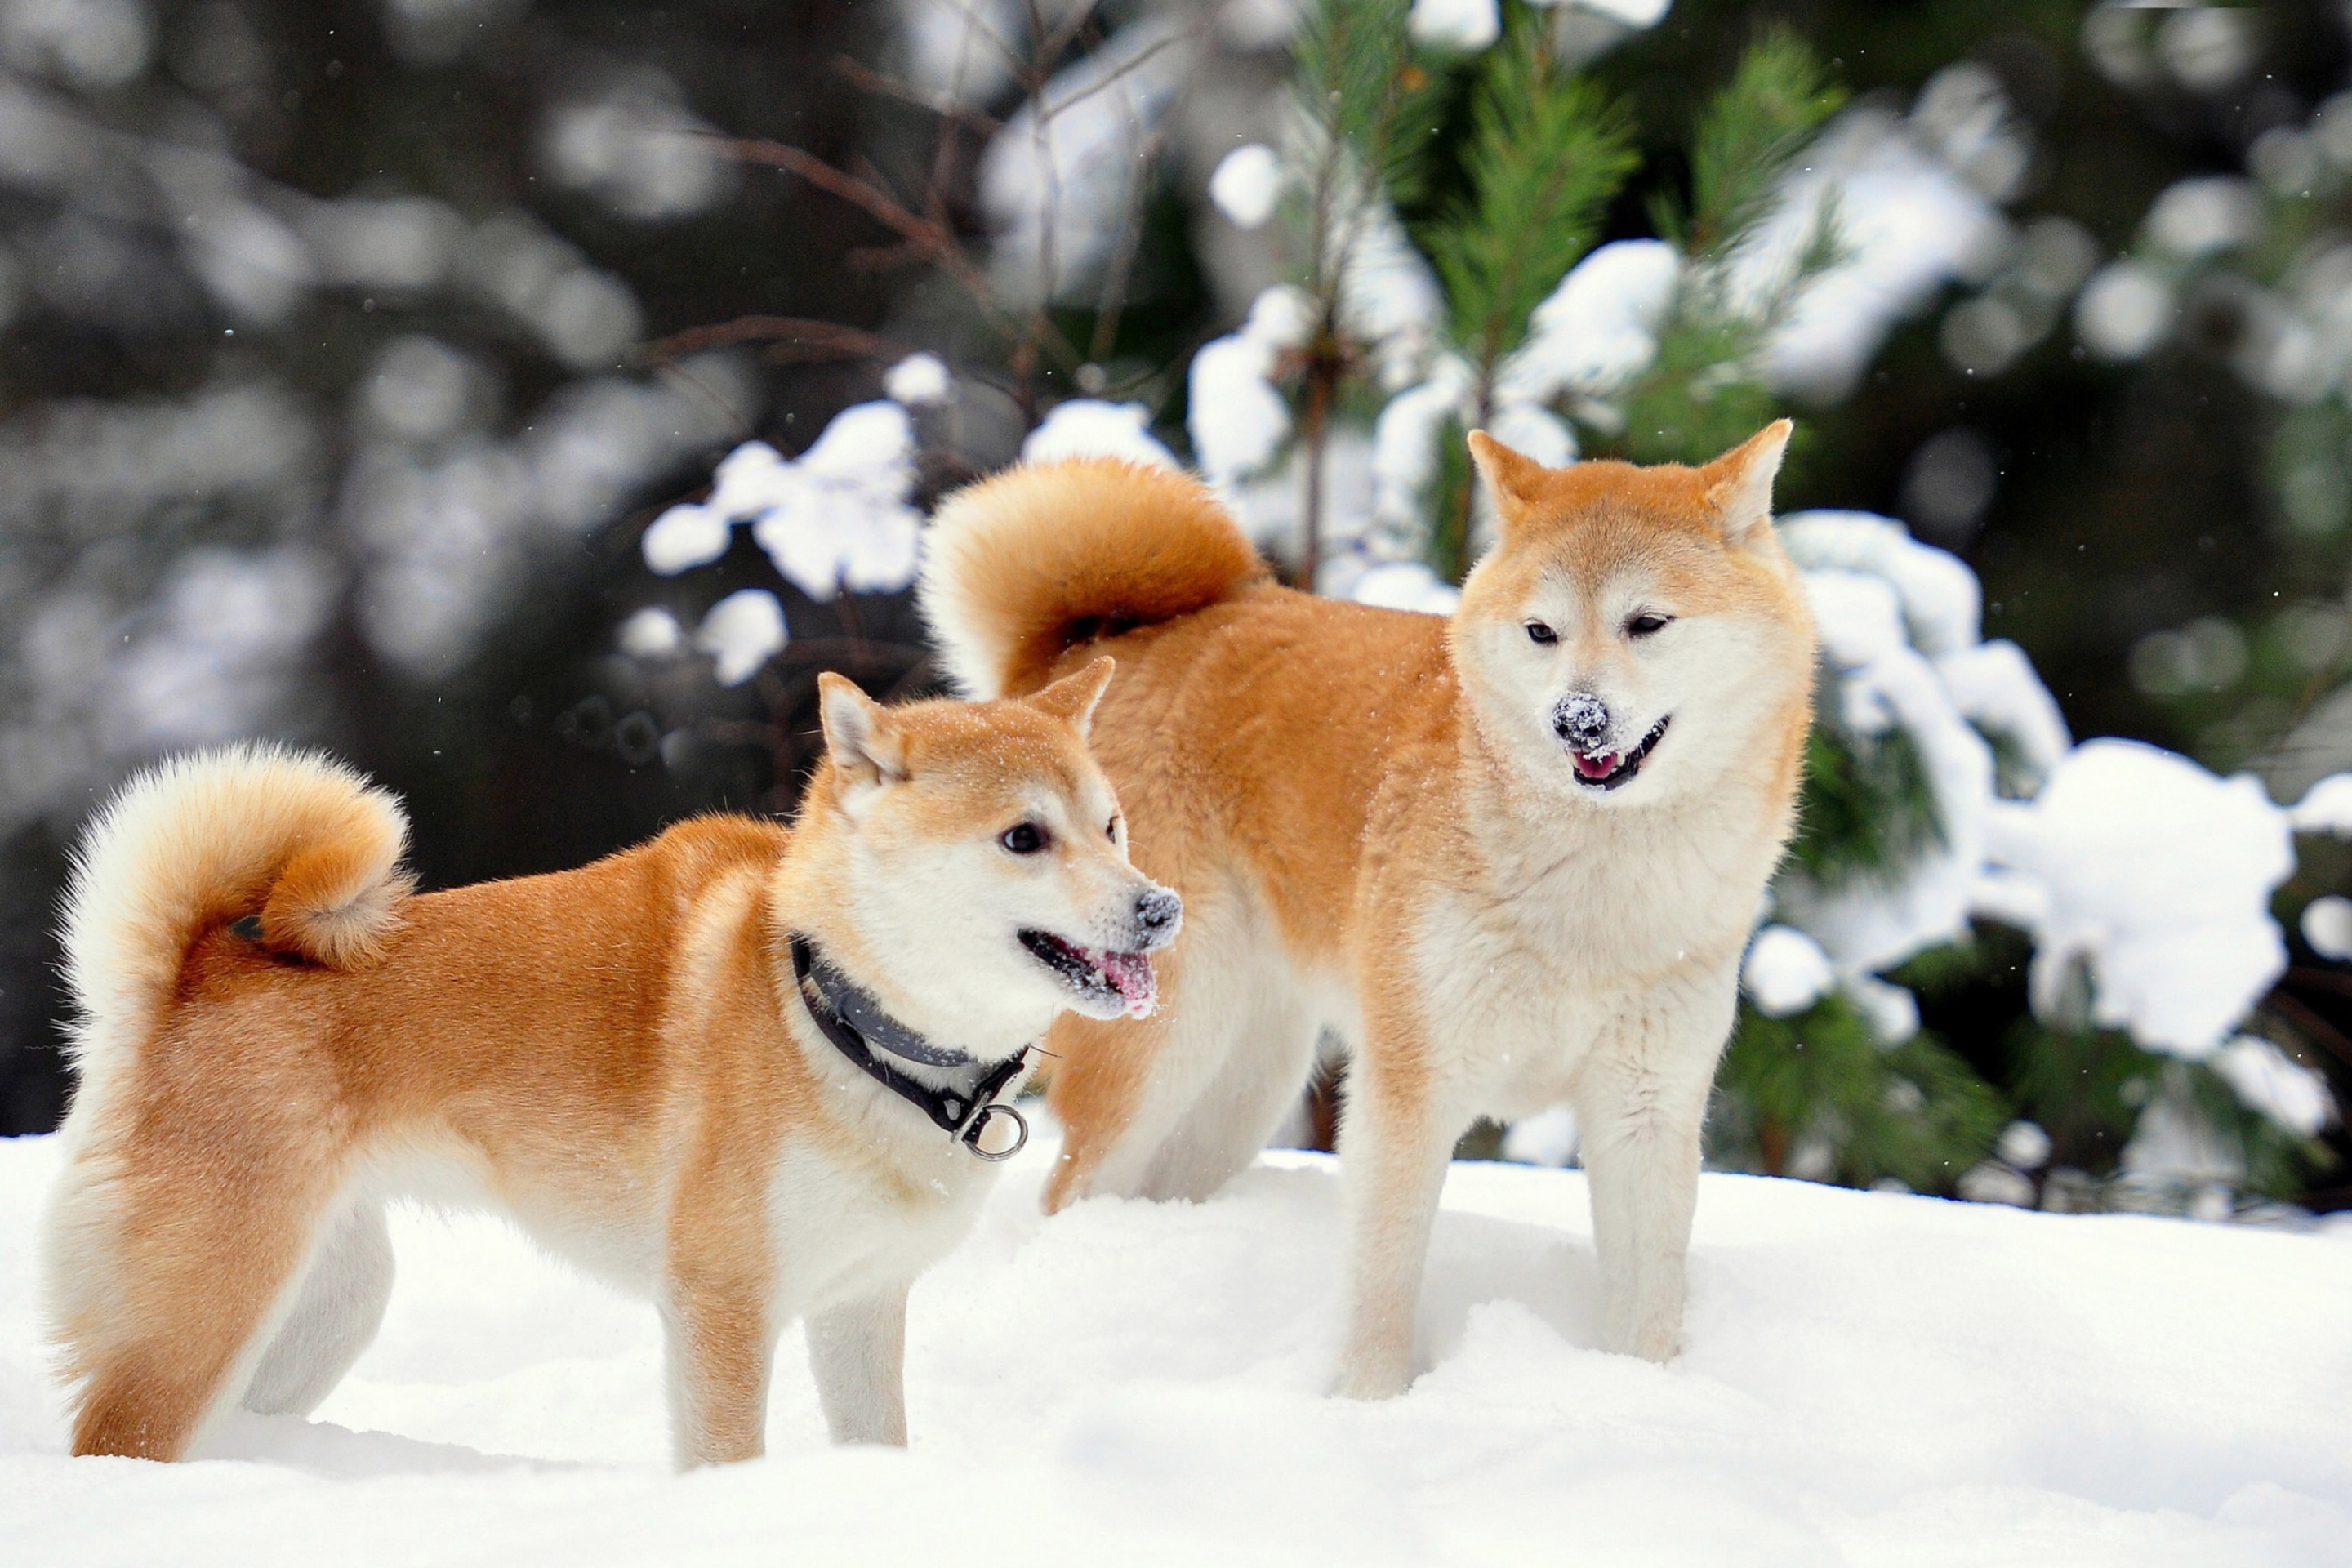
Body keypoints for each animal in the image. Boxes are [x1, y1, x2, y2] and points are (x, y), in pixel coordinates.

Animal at [37, 657, 1176, 1476]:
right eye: (1023, 837)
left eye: (1112, 825)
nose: (1160, 908)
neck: (836, 1016)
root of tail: (190, 975)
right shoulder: (722, 1304)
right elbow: (726, 1459)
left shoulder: (860, 1304)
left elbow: (878, 1441)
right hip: (203, 1318)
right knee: (114, 1443)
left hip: (322, 1311)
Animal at [921, 423, 1815, 1392]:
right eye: (1542, 631)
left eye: (1647, 623)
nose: (1576, 719)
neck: (1594, 895)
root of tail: (1091, 653)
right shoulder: (1410, 1091)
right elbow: (1383, 1289)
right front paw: (1372, 1405)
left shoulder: (1646, 1111)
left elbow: (1648, 1310)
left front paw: (1641, 1395)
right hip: (1164, 1053)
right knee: (1067, 1192)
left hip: (1243, 1086)